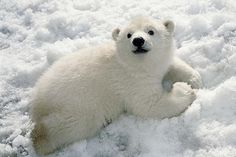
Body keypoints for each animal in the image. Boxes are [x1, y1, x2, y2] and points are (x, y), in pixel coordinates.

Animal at [30, 16, 202, 155]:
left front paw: (194, 79)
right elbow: (148, 104)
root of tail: (38, 101)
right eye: (129, 34)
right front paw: (184, 89)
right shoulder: (130, 80)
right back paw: (40, 139)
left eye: (151, 31)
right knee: (71, 124)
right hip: (78, 104)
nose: (138, 41)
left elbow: (171, 65)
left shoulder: (156, 65)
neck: (135, 64)